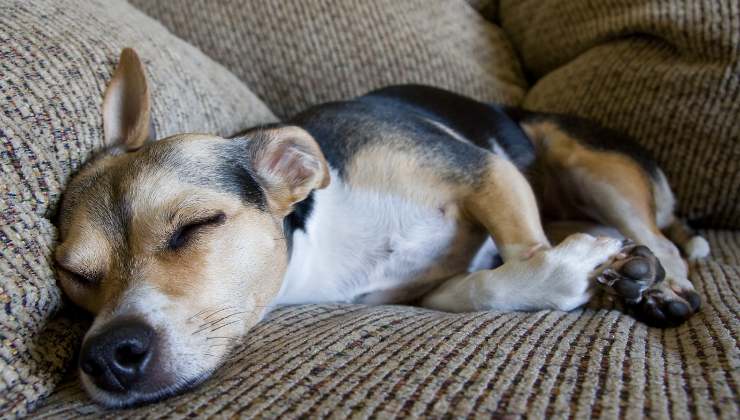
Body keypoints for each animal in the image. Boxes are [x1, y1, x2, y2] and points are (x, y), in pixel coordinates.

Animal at [55, 49, 708, 406]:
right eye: (74, 275)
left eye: (195, 226)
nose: (109, 357)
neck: (326, 240)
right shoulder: (427, 289)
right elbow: (483, 287)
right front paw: (573, 275)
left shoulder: (485, 171)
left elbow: (528, 247)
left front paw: (585, 268)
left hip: (584, 160)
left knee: (664, 243)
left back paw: (658, 283)